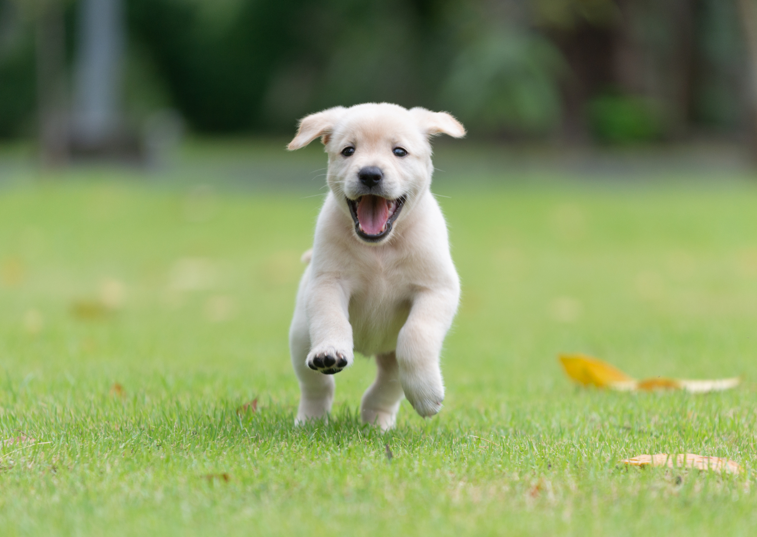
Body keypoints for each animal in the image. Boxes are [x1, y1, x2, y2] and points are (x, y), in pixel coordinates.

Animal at [286, 100, 464, 430]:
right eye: (348, 150)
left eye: (399, 151)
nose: (370, 174)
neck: (379, 250)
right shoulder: (327, 282)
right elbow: (332, 319)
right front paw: (330, 350)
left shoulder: (437, 289)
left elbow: (415, 334)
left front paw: (427, 394)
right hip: (301, 336)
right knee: (316, 385)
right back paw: (311, 419)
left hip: (390, 357)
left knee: (388, 384)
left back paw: (378, 421)